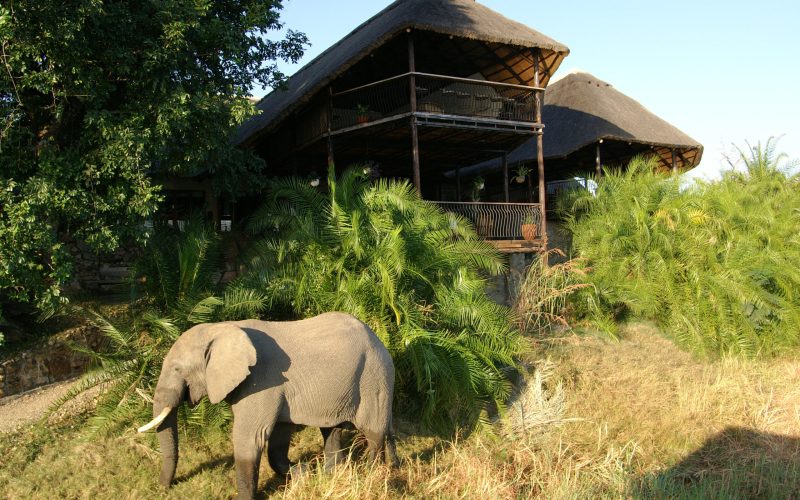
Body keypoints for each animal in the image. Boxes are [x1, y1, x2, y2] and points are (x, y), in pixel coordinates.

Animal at [137, 312, 398, 499]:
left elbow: (249, 439)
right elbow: (277, 442)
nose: (163, 488)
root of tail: (377, 337)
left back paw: (373, 475)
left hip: (375, 375)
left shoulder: (262, 382)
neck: (222, 328)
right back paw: (332, 476)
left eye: (177, 369)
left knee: (374, 432)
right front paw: (303, 473)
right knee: (332, 431)